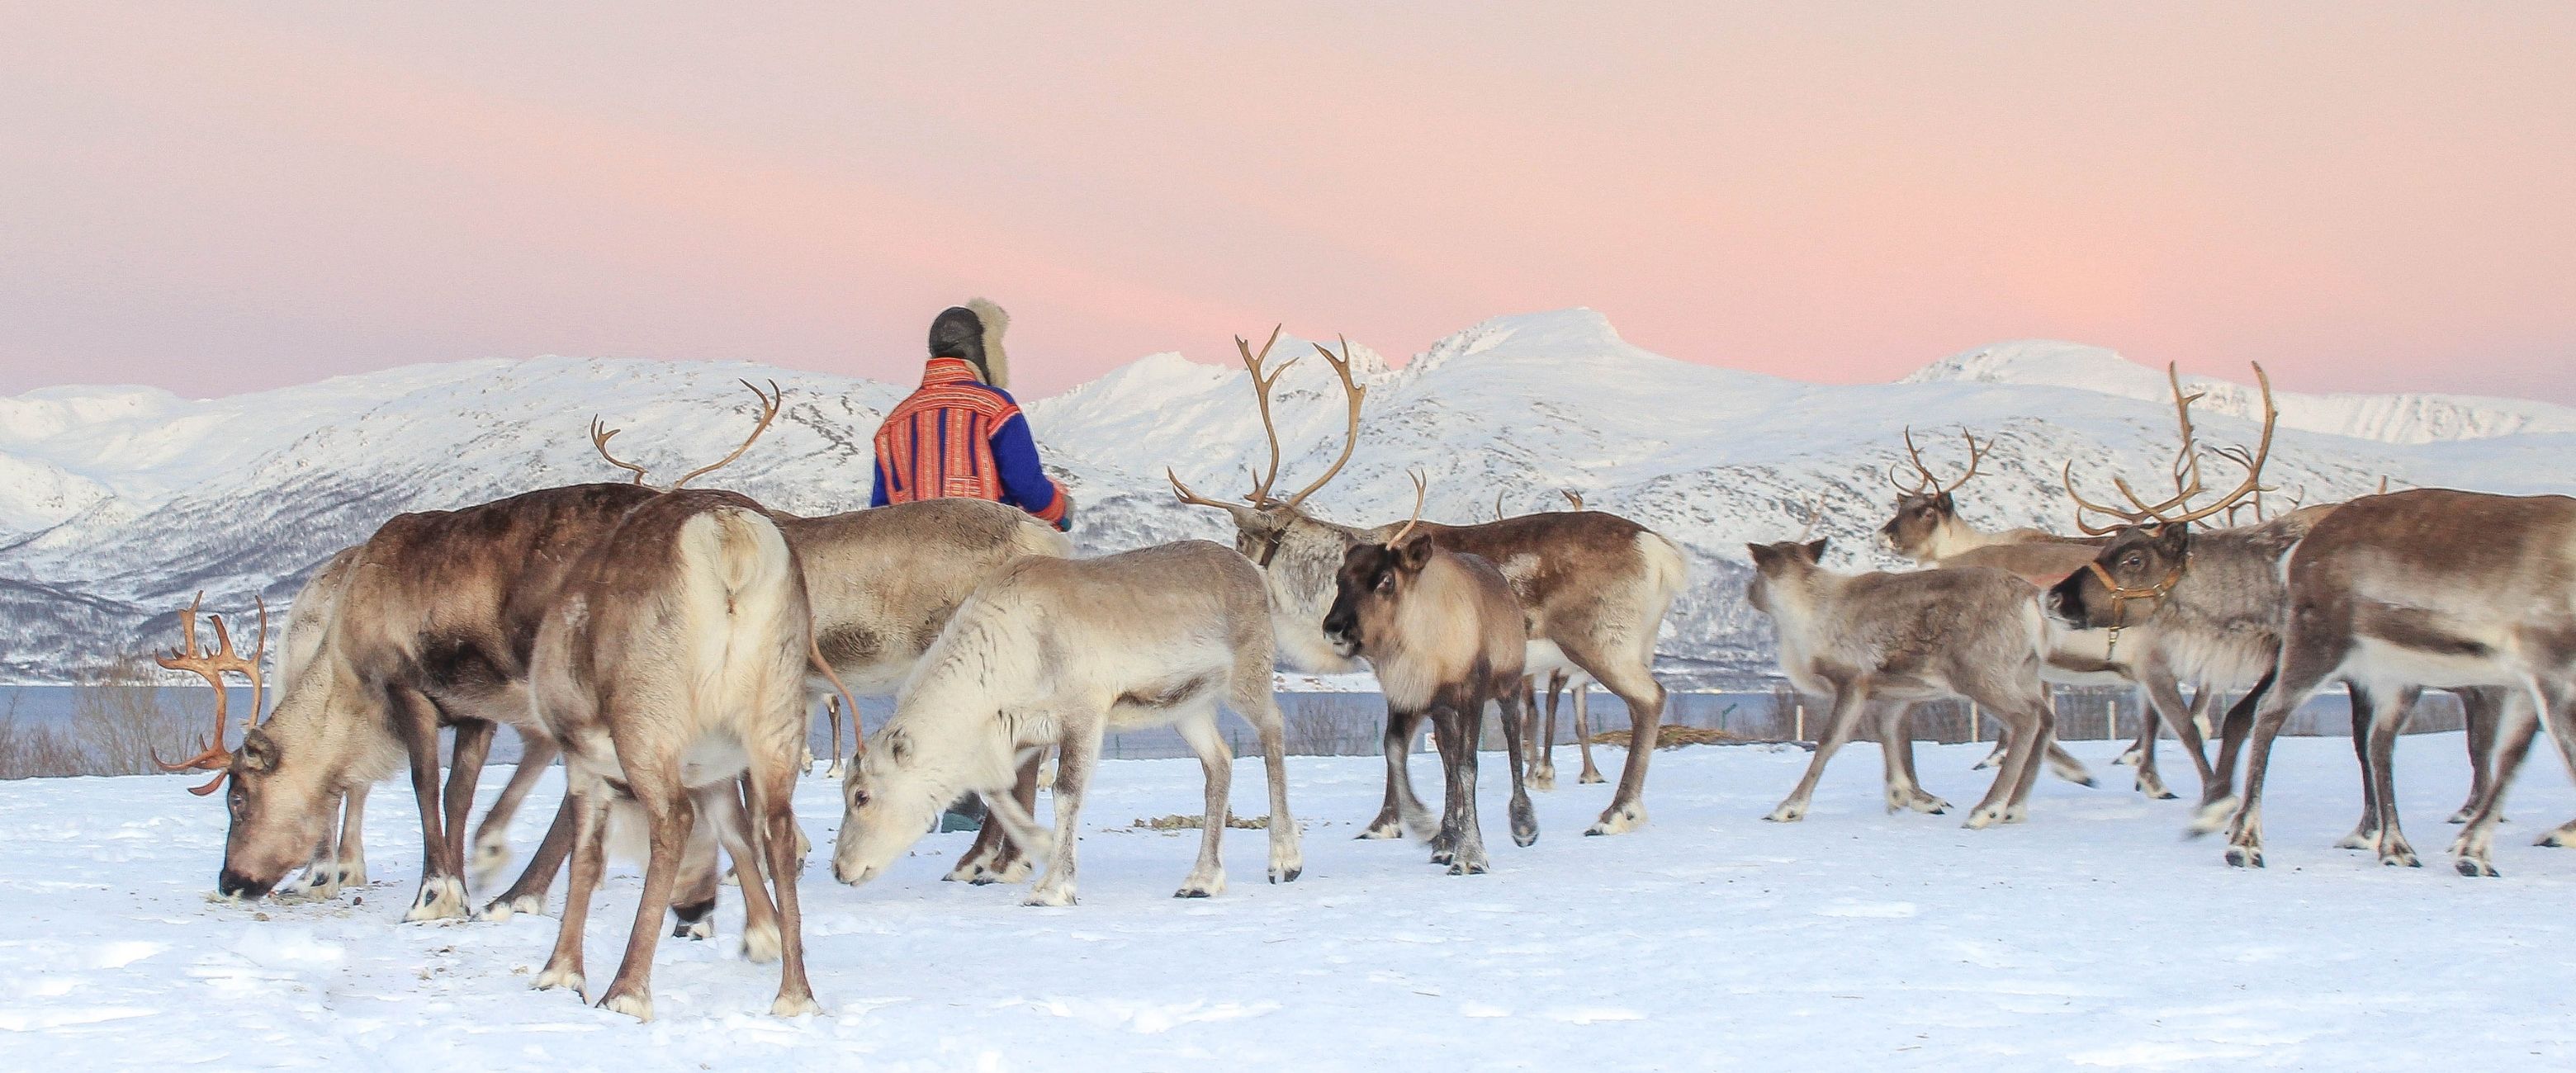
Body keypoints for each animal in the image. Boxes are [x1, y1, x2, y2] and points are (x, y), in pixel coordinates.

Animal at [525, 488, 823, 1020]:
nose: (693, 910)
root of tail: (728, 533)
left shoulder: (583, 764)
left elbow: (585, 860)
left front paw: (560, 973)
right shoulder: (715, 771)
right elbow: (736, 833)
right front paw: (762, 934)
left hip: (648, 721)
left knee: (673, 819)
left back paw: (624, 992)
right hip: (777, 717)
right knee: (778, 827)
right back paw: (795, 996)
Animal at [831, 540, 1303, 905]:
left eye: (861, 795)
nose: (840, 869)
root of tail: (1256, 573)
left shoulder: (1084, 715)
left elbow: (1065, 792)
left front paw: (1053, 886)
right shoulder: (1021, 733)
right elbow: (998, 791)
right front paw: (1035, 847)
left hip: (1247, 679)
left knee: (1274, 730)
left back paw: (1284, 860)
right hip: (1188, 709)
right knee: (1219, 762)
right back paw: (1201, 880)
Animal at [1324, 474, 1537, 873]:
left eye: (1386, 579)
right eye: (1340, 578)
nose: (1334, 628)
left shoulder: (1471, 691)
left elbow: (1469, 766)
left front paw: (1471, 855)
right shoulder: (1410, 696)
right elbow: (1397, 750)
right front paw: (1427, 825)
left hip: (1508, 684)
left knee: (1513, 735)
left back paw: (1523, 823)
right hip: (1444, 711)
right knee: (1448, 760)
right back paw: (1445, 839)